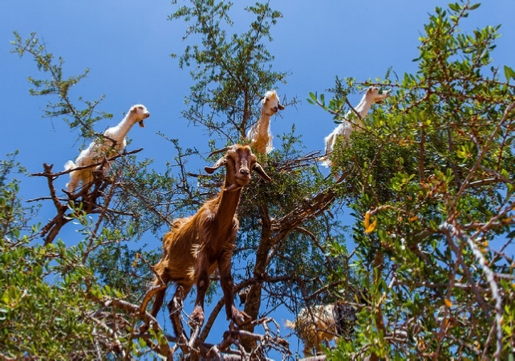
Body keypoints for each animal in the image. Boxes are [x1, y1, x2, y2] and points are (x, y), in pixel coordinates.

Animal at [147, 144, 272, 330]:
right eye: (229, 159)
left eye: (252, 162)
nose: (244, 173)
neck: (218, 221)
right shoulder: (202, 247)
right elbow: (203, 281)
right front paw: (197, 316)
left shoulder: (226, 251)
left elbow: (228, 282)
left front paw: (237, 315)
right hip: (163, 270)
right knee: (157, 300)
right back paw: (149, 325)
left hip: (184, 279)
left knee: (172, 303)